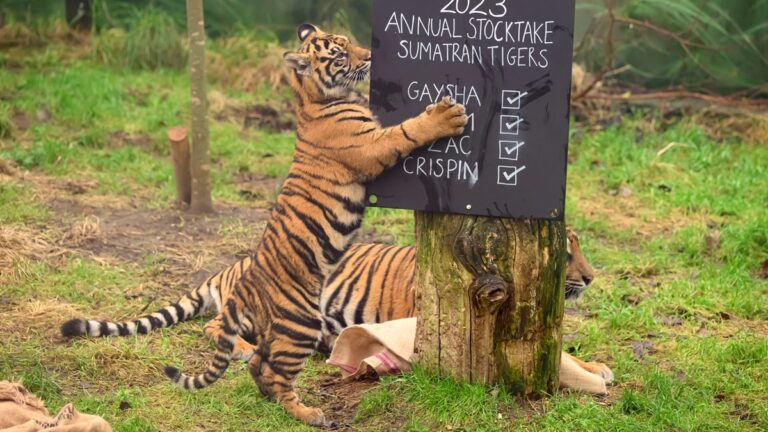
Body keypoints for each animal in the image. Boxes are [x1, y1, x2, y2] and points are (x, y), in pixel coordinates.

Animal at [60, 23, 468, 427]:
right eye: (338, 54)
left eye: (348, 41)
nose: (369, 56)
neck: (313, 99)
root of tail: (236, 272)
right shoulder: (371, 145)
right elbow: (407, 131)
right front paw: (444, 116)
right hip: (299, 322)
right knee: (257, 361)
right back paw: (308, 412)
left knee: (259, 364)